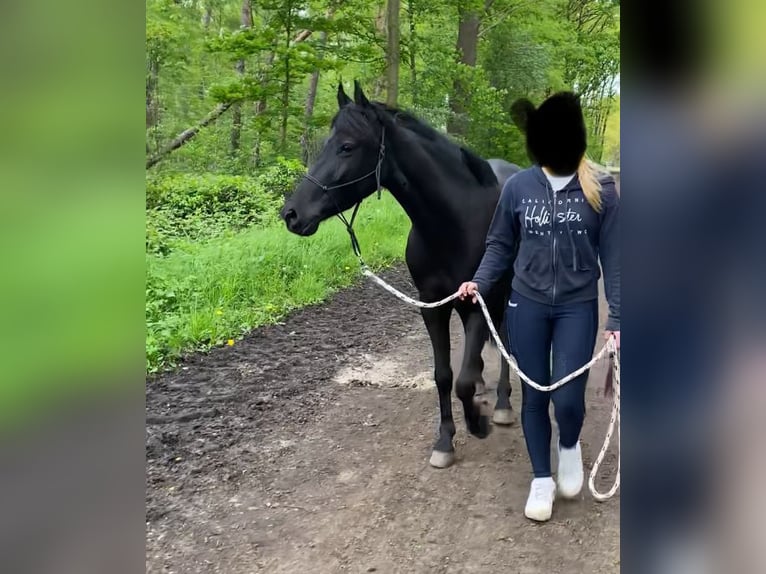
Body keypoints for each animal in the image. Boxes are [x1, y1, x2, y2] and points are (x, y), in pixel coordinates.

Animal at [282, 81, 520, 468]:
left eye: (347, 146)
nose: (291, 214)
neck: (454, 222)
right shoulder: (432, 305)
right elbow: (444, 376)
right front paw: (444, 441)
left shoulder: (476, 302)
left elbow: (463, 381)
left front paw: (478, 421)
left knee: (505, 345)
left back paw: (501, 404)